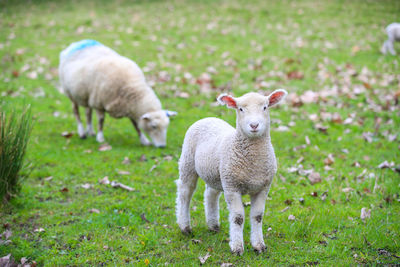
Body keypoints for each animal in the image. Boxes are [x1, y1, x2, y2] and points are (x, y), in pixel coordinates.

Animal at [177, 89, 286, 255]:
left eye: (265, 107)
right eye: (240, 109)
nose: (254, 125)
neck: (253, 163)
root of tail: (208, 118)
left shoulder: (263, 187)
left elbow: (257, 216)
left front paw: (259, 245)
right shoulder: (232, 187)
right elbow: (238, 218)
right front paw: (237, 247)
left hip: (216, 173)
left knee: (210, 194)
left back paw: (213, 225)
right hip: (188, 162)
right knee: (185, 193)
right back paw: (185, 227)